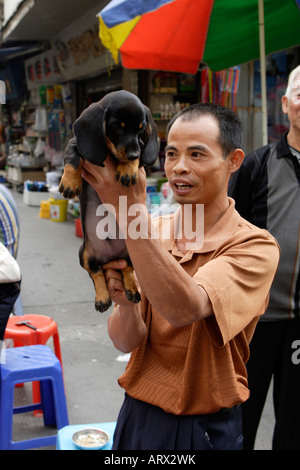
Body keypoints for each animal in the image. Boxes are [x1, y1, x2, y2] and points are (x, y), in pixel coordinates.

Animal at [57, 91, 158, 312]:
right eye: (116, 127)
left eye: (140, 129)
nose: (133, 153)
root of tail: (110, 258)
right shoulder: (75, 143)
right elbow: (72, 158)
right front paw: (70, 183)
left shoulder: (141, 150)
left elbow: (137, 158)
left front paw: (127, 169)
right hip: (85, 254)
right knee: (96, 273)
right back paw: (102, 298)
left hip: (131, 251)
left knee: (127, 268)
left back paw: (132, 291)